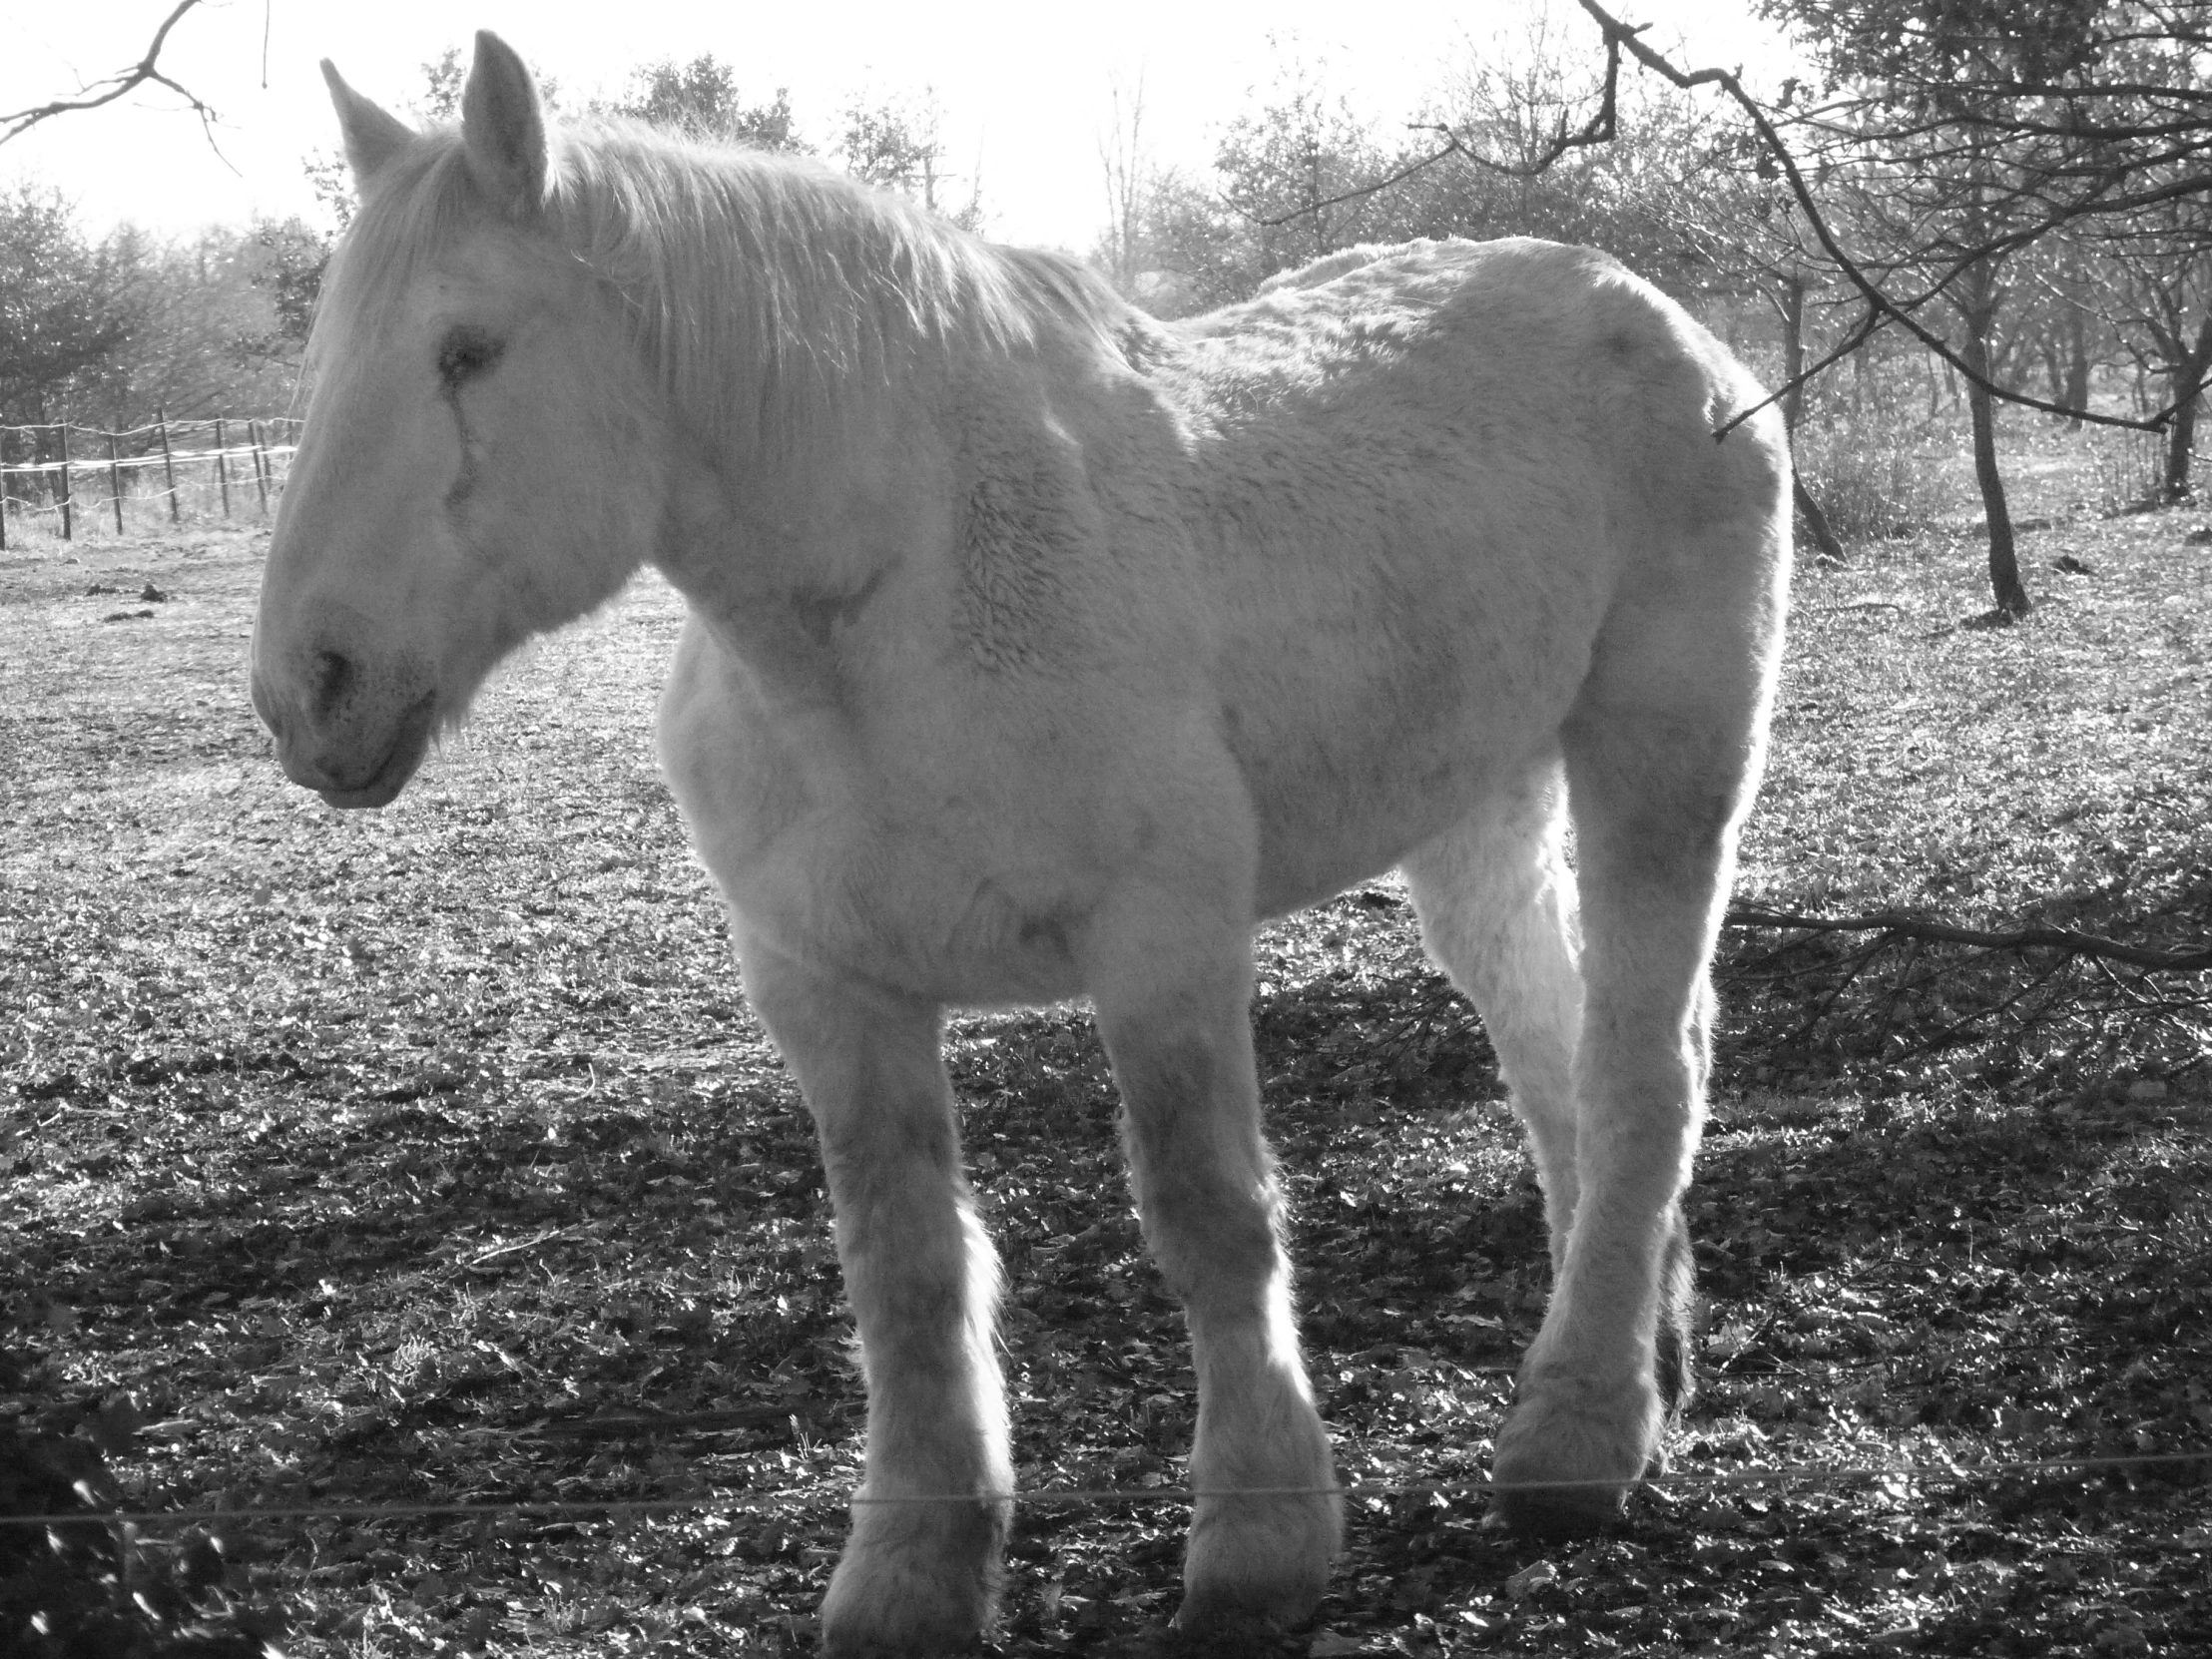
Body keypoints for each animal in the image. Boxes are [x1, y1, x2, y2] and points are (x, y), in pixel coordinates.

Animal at [251, 32, 1787, 1654]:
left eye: (468, 350)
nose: (309, 691)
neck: (895, 604)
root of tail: (1668, 324)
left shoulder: (1162, 944)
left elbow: (1210, 1215)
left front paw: (1259, 1541)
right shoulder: (830, 989)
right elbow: (907, 1267)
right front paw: (911, 1568)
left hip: (1663, 762)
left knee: (1644, 1064)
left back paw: (1579, 1436)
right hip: (1477, 803)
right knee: (1559, 1054)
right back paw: (1643, 1362)